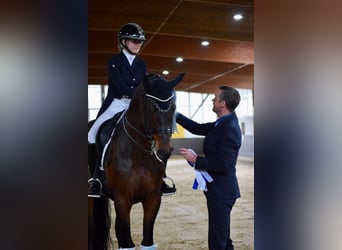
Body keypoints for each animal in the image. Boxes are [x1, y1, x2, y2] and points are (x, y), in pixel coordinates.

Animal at [87, 73, 186, 250]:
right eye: (152, 108)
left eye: (173, 108)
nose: (165, 152)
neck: (139, 154)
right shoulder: (122, 199)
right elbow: (127, 242)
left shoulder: (153, 198)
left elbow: (146, 241)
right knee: (92, 226)